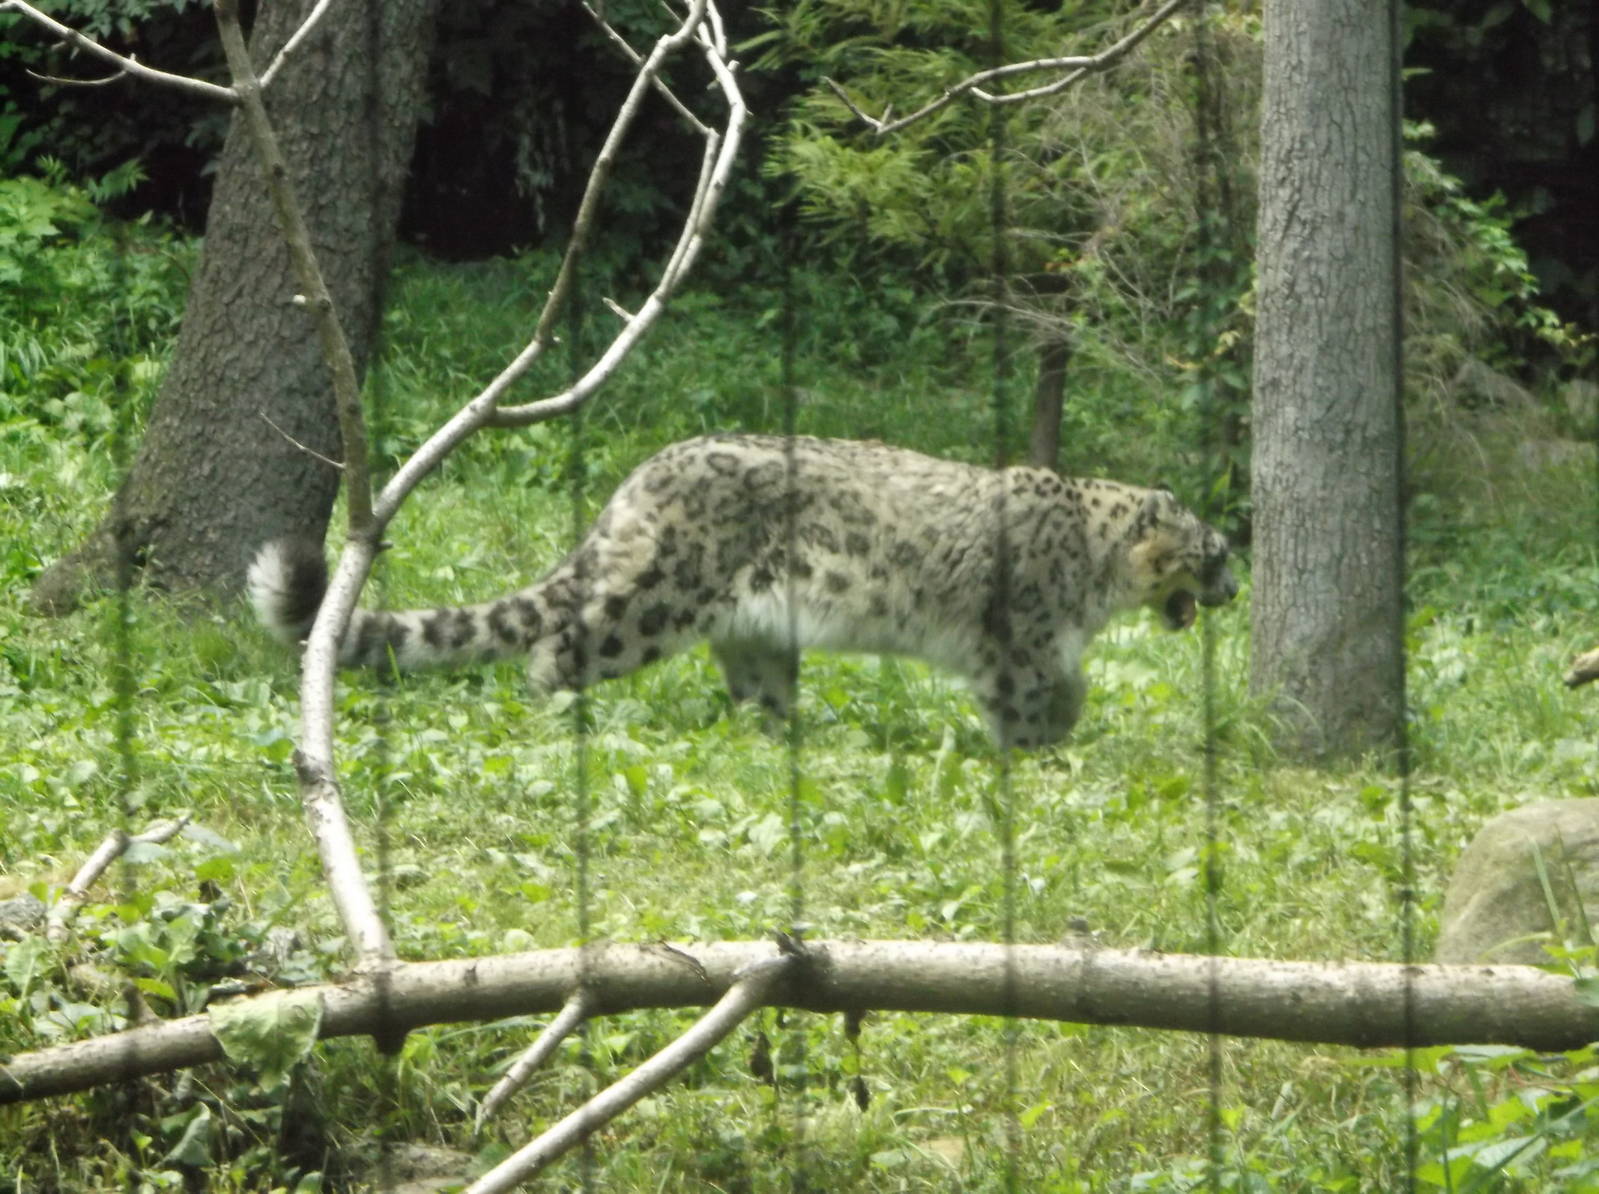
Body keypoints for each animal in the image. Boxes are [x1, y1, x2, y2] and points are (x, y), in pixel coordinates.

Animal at [248, 434, 1237, 748]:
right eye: (1216, 548)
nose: (1233, 587)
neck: (1097, 583)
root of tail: (640, 477)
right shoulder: (1021, 642)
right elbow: (1034, 698)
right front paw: (1042, 751)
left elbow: (1070, 687)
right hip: (656, 605)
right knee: (563, 643)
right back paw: (558, 710)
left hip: (758, 631)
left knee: (756, 689)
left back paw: (783, 733)